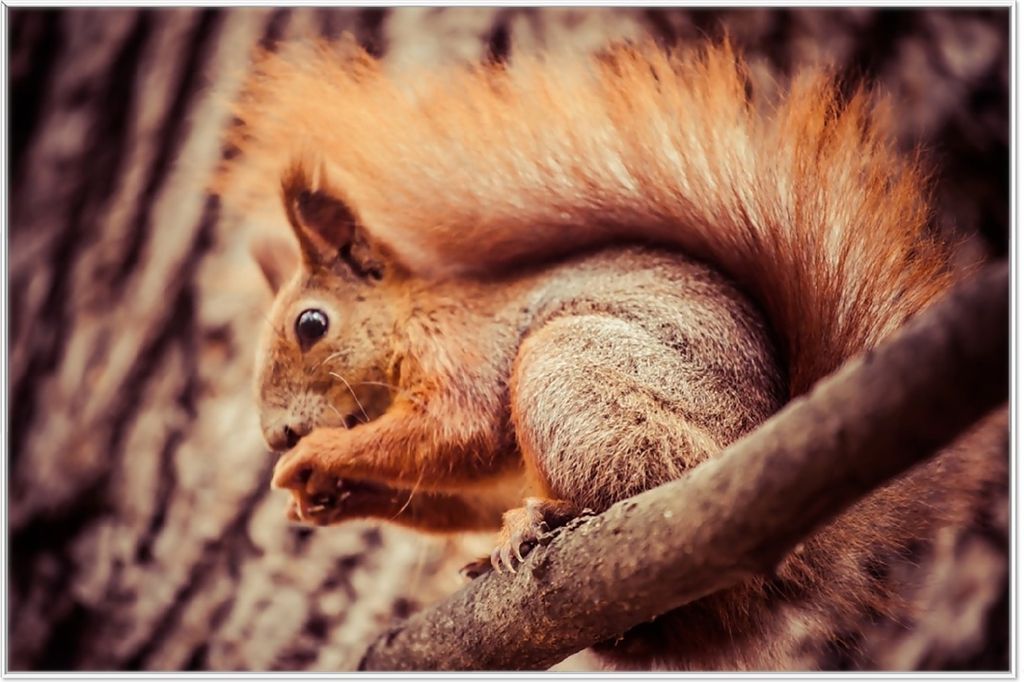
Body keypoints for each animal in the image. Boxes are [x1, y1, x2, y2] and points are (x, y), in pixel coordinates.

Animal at [214, 40, 1007, 670]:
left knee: (615, 478)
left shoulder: (465, 354)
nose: (277, 434)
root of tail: (789, 558)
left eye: (311, 324)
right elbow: (462, 492)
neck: (411, 319)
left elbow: (456, 432)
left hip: (577, 379)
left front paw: (313, 459)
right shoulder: (477, 467)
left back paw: (544, 519)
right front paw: (324, 498)